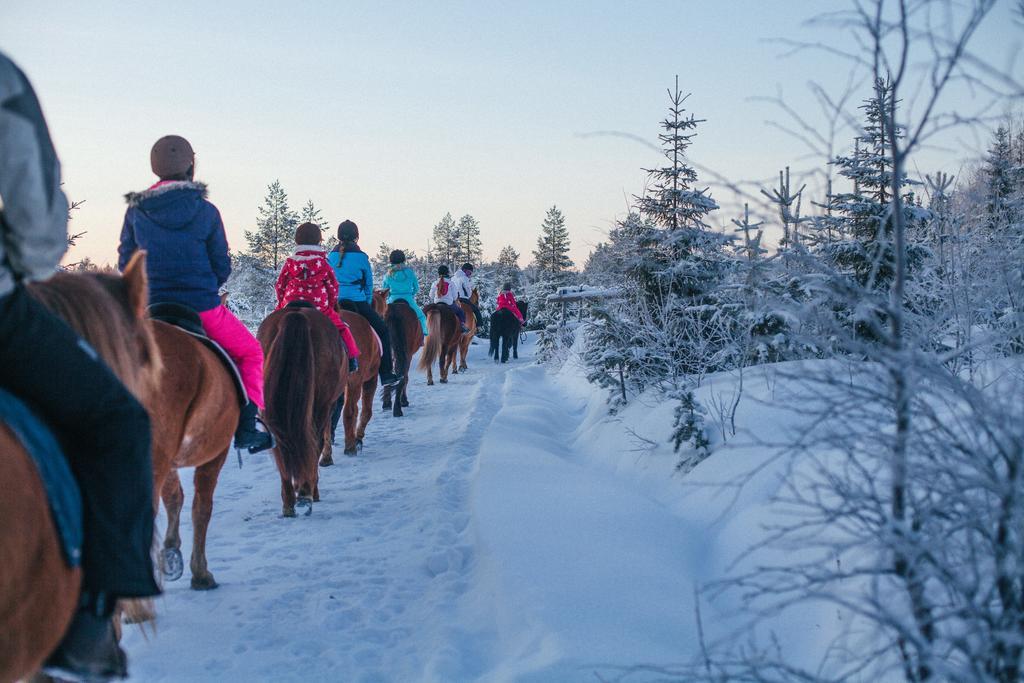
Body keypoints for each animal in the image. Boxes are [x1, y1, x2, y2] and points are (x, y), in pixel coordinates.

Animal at [256, 307, 344, 516]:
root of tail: (295, 314)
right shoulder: (329, 404)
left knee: (281, 445)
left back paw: (289, 501)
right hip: (320, 404)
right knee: (314, 441)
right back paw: (307, 493)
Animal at [321, 307, 382, 462]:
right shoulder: (369, 380)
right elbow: (365, 411)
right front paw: (358, 439)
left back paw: (326, 456)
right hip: (356, 380)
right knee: (350, 410)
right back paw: (350, 447)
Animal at [372, 288, 423, 417]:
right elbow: (405, 377)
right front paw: (403, 400)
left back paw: (388, 403)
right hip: (406, 353)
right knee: (402, 375)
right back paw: (398, 407)